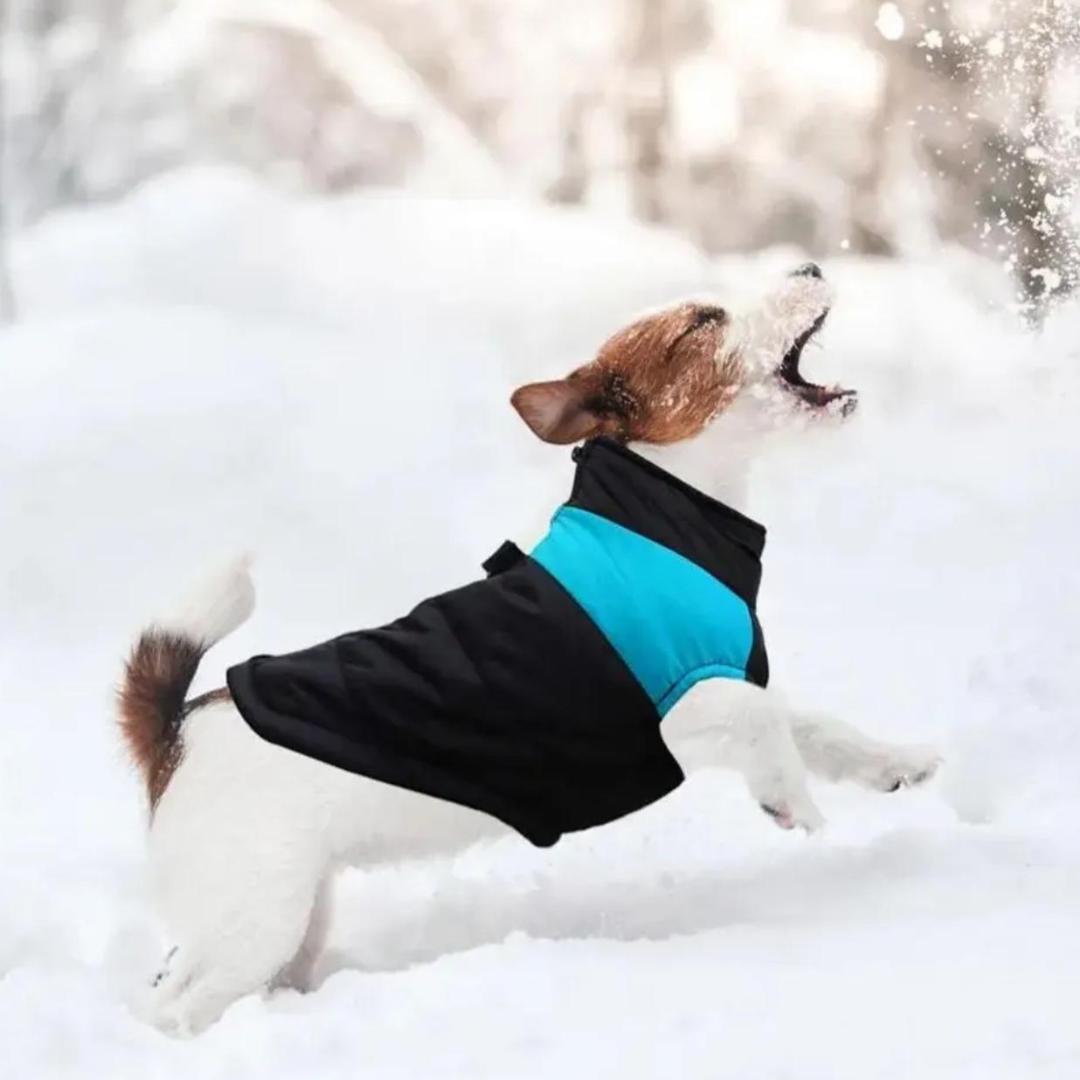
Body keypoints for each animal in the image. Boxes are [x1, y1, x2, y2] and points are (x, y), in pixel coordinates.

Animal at [119, 263, 940, 1034]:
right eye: (704, 321)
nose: (809, 266)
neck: (663, 516)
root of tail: (177, 731)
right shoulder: (682, 708)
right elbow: (765, 722)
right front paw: (792, 802)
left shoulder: (728, 678)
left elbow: (812, 723)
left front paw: (893, 764)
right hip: (255, 920)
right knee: (171, 1008)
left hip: (292, 919)